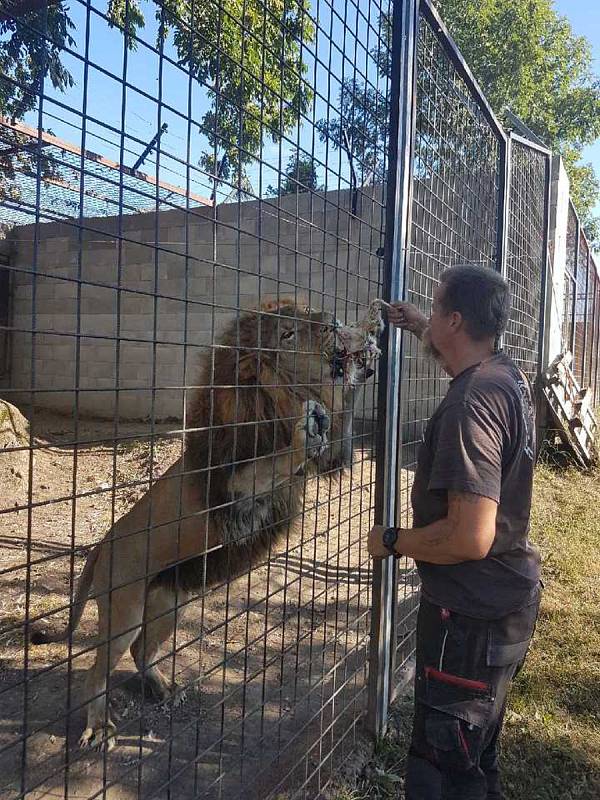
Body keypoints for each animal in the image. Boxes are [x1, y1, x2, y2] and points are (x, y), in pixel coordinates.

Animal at [30, 296, 384, 752]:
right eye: (287, 333)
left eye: (306, 314)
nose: (333, 321)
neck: (281, 396)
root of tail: (102, 545)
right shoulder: (234, 491)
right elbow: (274, 462)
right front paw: (305, 431)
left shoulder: (334, 456)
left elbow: (343, 418)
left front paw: (369, 345)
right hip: (125, 609)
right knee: (98, 671)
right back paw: (98, 725)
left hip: (169, 604)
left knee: (142, 651)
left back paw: (163, 688)